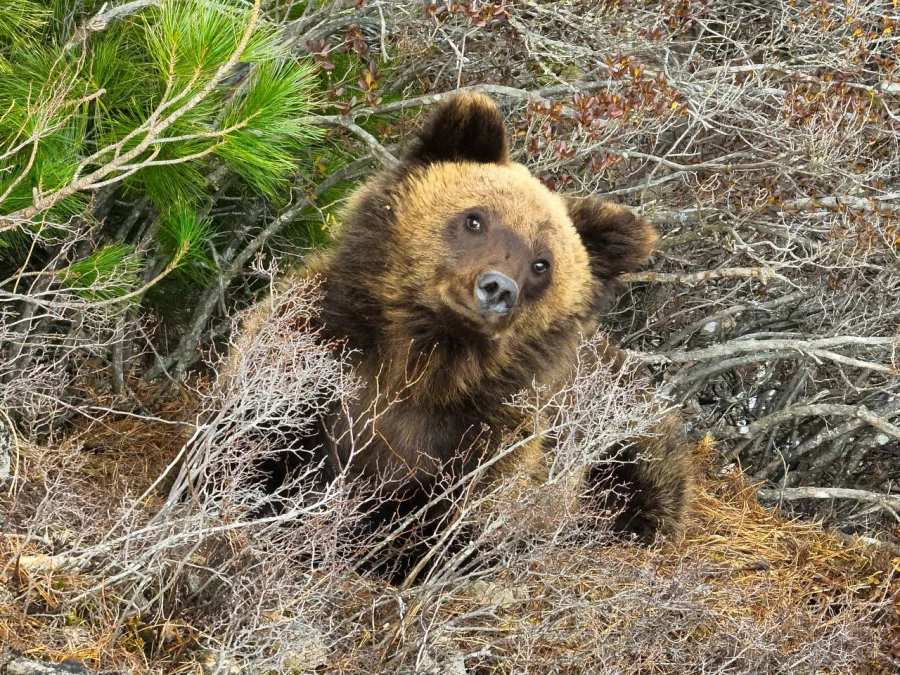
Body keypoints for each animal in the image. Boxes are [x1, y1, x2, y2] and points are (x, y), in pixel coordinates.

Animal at [233, 91, 694, 581]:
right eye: (476, 220)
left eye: (542, 263)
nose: (497, 288)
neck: (424, 361)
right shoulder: (314, 348)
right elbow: (267, 440)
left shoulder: (491, 431)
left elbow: (449, 518)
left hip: (631, 432)